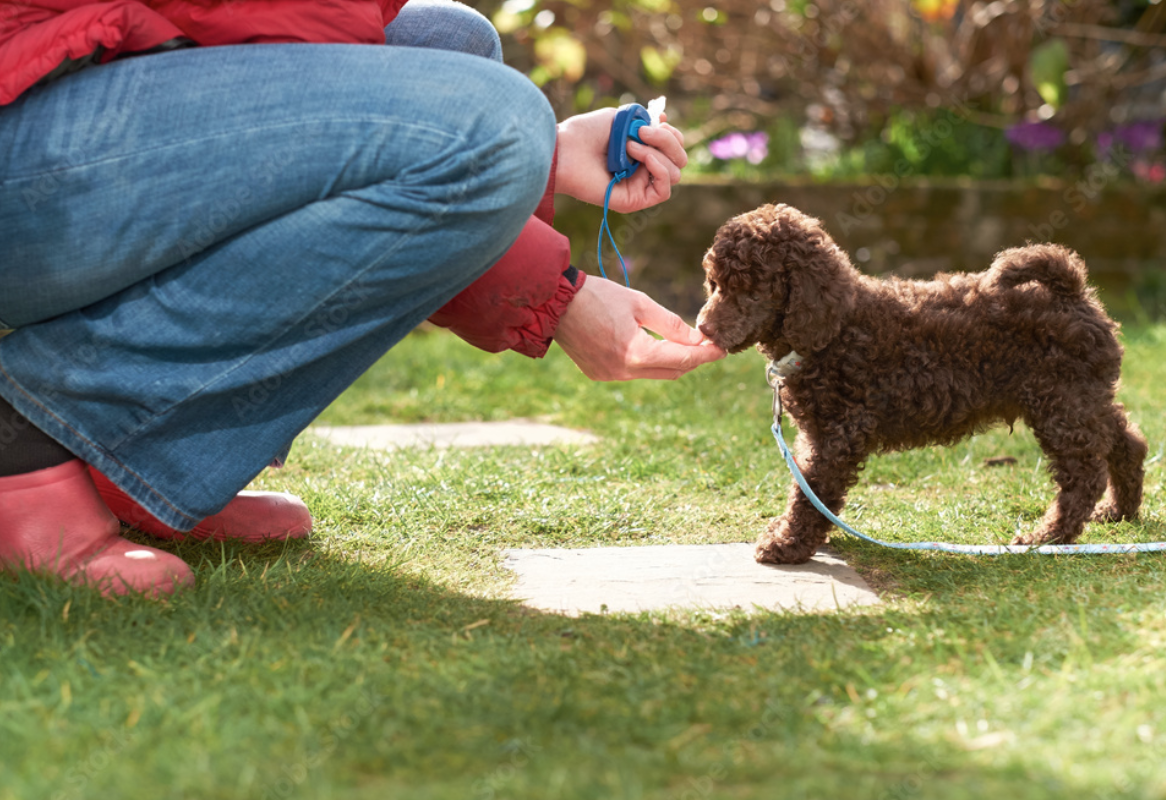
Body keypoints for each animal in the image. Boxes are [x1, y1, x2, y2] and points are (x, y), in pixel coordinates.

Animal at [694, 205, 1142, 564]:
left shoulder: (838, 434)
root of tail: (1072, 292)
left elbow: (811, 492)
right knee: (1126, 441)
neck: (836, 329)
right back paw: (1120, 510)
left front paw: (788, 544)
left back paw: (1048, 537)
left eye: (751, 290)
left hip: (1061, 403)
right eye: (715, 284)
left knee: (1083, 474)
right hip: (1082, 398)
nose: (702, 328)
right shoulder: (818, 433)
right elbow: (809, 488)